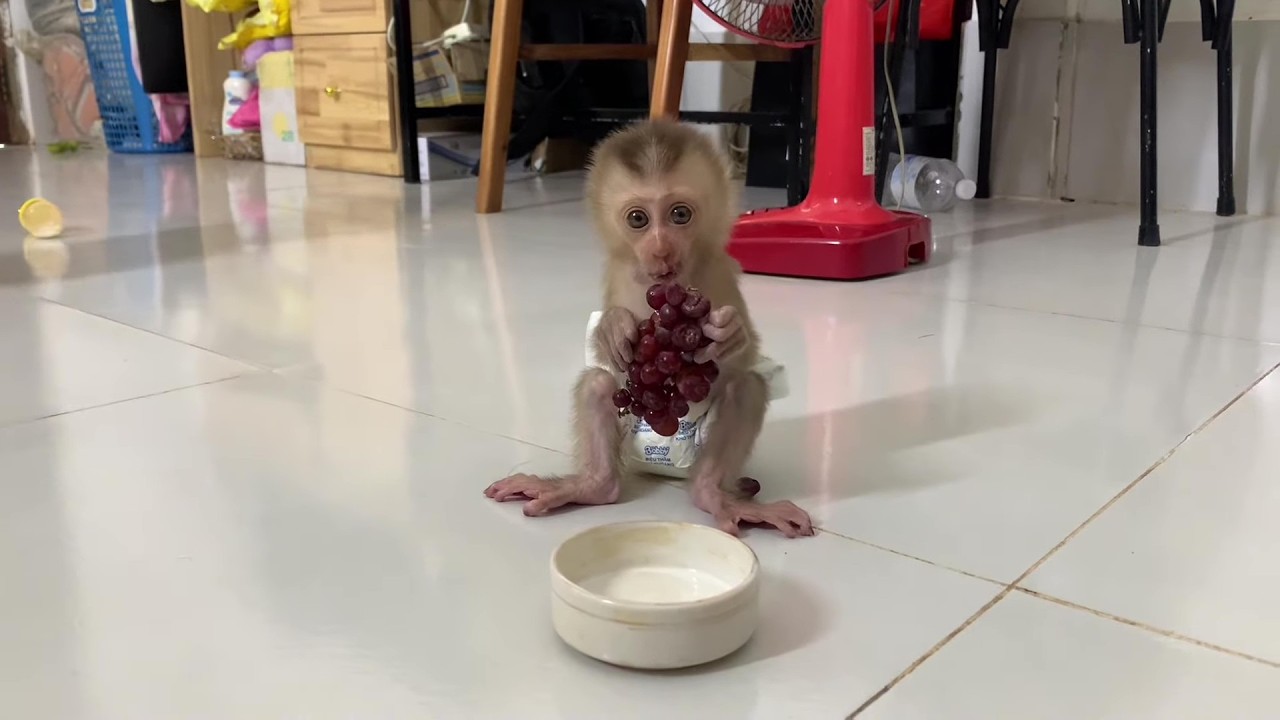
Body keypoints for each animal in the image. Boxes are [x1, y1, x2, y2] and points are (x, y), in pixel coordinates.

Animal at [485, 121, 813, 538]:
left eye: (679, 214)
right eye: (638, 219)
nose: (660, 250)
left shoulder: (718, 270)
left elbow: (745, 355)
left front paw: (731, 335)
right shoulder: (616, 270)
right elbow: (603, 348)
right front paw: (612, 327)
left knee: (745, 387)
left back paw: (712, 494)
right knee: (598, 384)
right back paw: (593, 485)